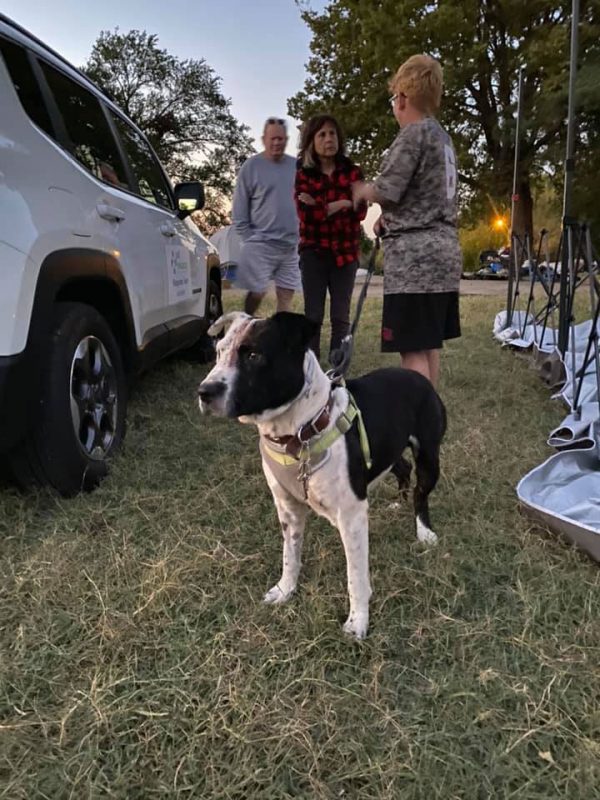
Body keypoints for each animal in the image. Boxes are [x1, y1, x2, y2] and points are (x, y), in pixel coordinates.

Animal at [198, 310, 446, 640]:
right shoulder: (288, 510)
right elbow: (290, 556)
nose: (204, 391)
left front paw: (358, 621)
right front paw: (285, 590)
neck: (299, 431)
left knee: (422, 492)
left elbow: (356, 576)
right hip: (388, 448)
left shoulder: (351, 517)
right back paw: (399, 501)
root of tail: (418, 377)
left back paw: (423, 531)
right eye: (219, 352)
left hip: (429, 457)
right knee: (402, 468)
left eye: (253, 355)